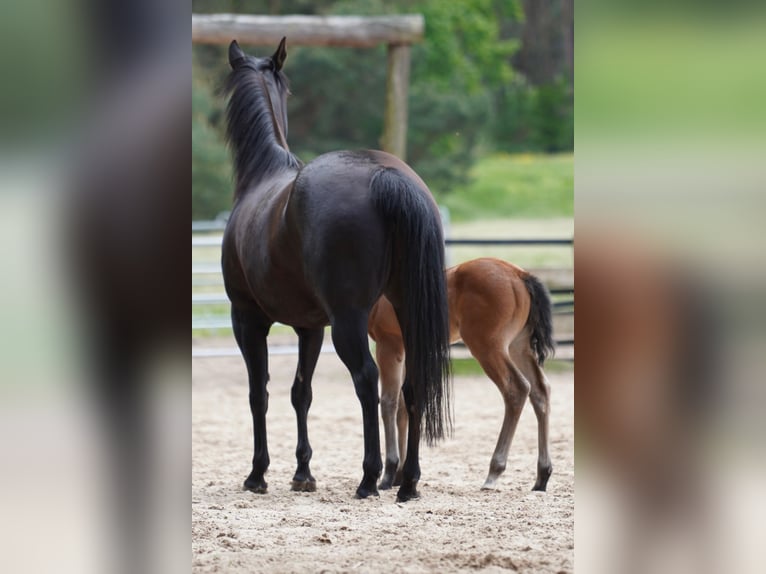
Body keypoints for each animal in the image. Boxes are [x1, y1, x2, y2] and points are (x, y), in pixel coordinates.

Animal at [221, 38, 452, 502]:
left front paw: (258, 474)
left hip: (349, 321)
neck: (263, 177)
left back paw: (369, 479)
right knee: (411, 386)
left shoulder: (247, 319)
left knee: (366, 379)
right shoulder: (310, 327)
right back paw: (408, 482)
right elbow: (301, 393)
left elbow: (259, 393)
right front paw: (302, 472)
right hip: (406, 308)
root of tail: (386, 175)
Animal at [368, 257, 555, 492]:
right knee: (540, 390)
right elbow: (402, 408)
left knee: (517, 389)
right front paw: (400, 475)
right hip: (518, 346)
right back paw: (542, 476)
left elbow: (388, 403)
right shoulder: (403, 348)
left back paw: (494, 472)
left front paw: (388, 474)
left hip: (487, 347)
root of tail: (518, 274)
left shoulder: (388, 344)